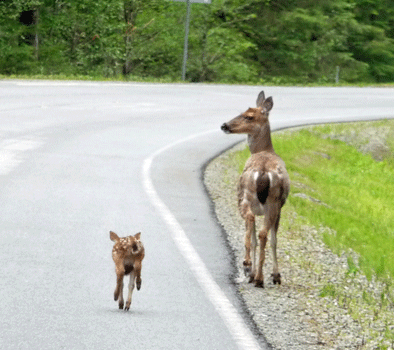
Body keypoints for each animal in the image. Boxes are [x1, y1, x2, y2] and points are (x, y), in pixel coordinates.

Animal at [222, 91, 290, 288]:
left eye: (249, 116)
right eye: (243, 112)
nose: (224, 125)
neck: (263, 150)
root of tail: (263, 172)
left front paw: (267, 274)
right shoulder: (279, 207)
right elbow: (273, 239)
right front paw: (274, 275)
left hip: (249, 198)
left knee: (254, 227)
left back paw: (250, 268)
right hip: (271, 202)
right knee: (262, 233)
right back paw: (258, 275)